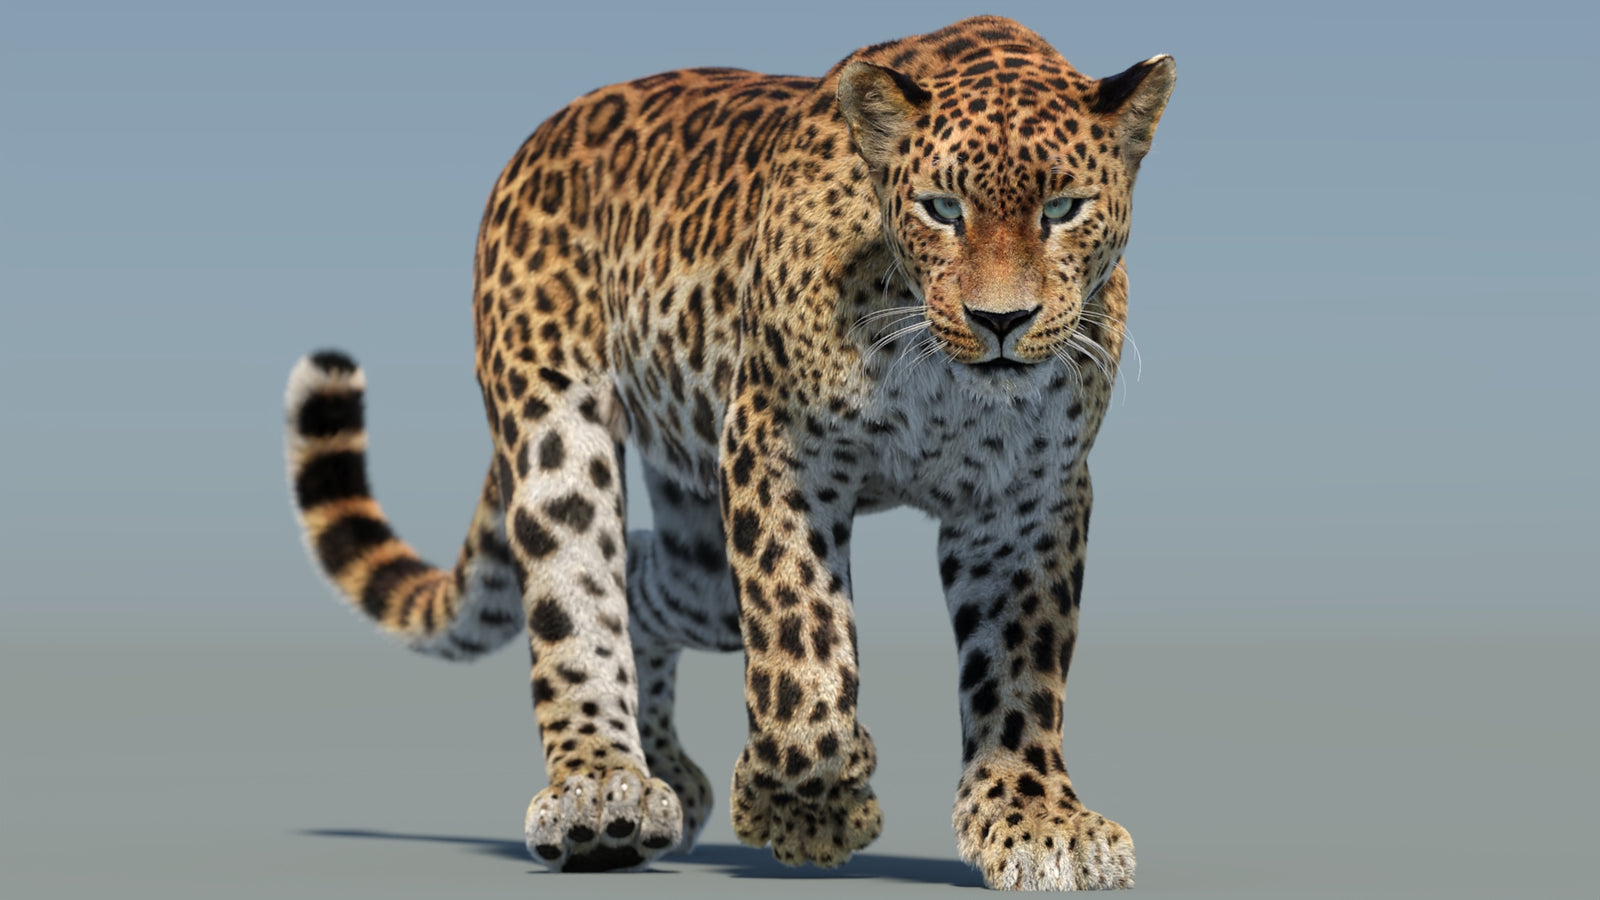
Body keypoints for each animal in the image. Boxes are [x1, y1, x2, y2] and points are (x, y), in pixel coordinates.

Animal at [283, 15, 1173, 890]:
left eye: (1063, 206)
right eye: (941, 208)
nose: (1001, 321)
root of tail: (541, 136)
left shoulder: (1027, 496)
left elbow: (1020, 668)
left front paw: (1035, 818)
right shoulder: (777, 446)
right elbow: (799, 638)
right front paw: (810, 812)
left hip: (697, 542)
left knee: (644, 581)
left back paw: (667, 775)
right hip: (554, 424)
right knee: (581, 600)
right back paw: (601, 791)